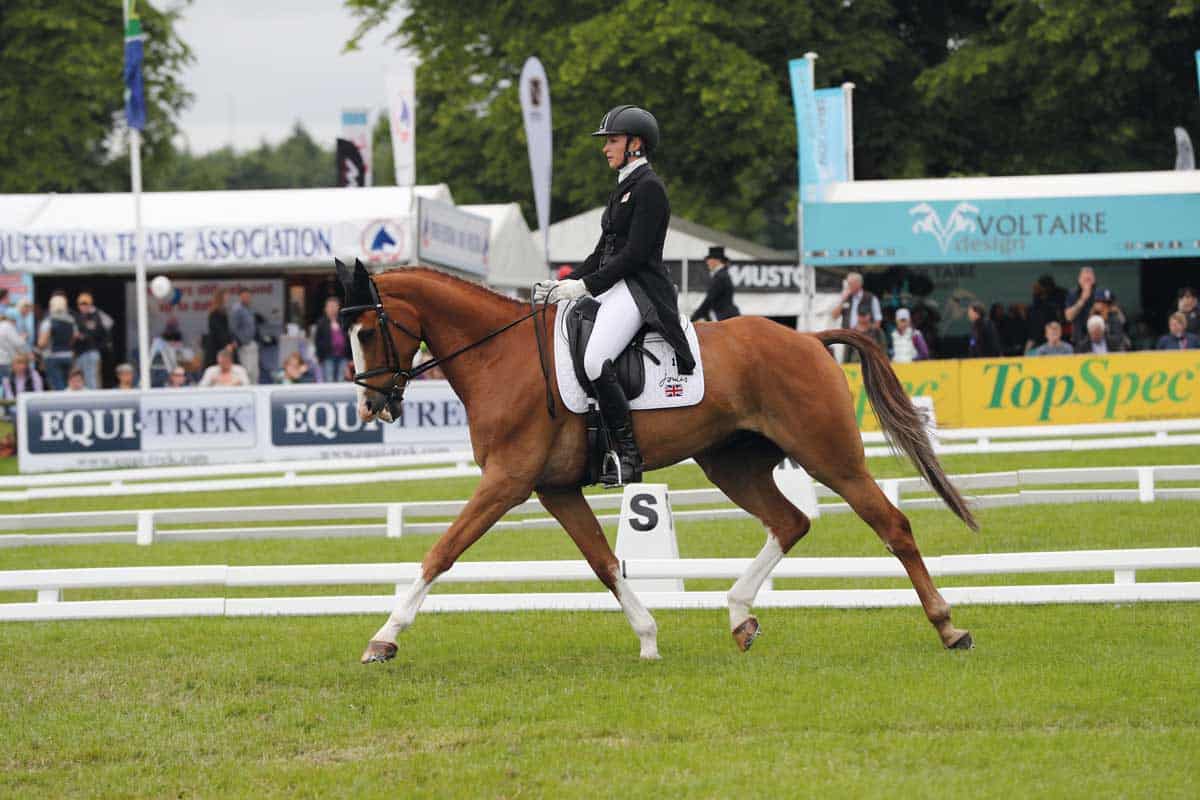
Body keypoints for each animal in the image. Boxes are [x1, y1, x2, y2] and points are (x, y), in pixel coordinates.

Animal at [343, 262, 979, 662]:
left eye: (366, 330)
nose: (373, 405)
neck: (501, 355)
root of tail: (808, 337)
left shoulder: (506, 481)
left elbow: (441, 552)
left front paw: (384, 638)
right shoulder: (554, 489)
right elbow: (605, 563)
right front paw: (648, 637)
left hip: (829, 457)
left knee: (891, 525)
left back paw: (949, 627)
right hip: (731, 464)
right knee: (791, 522)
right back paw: (739, 617)